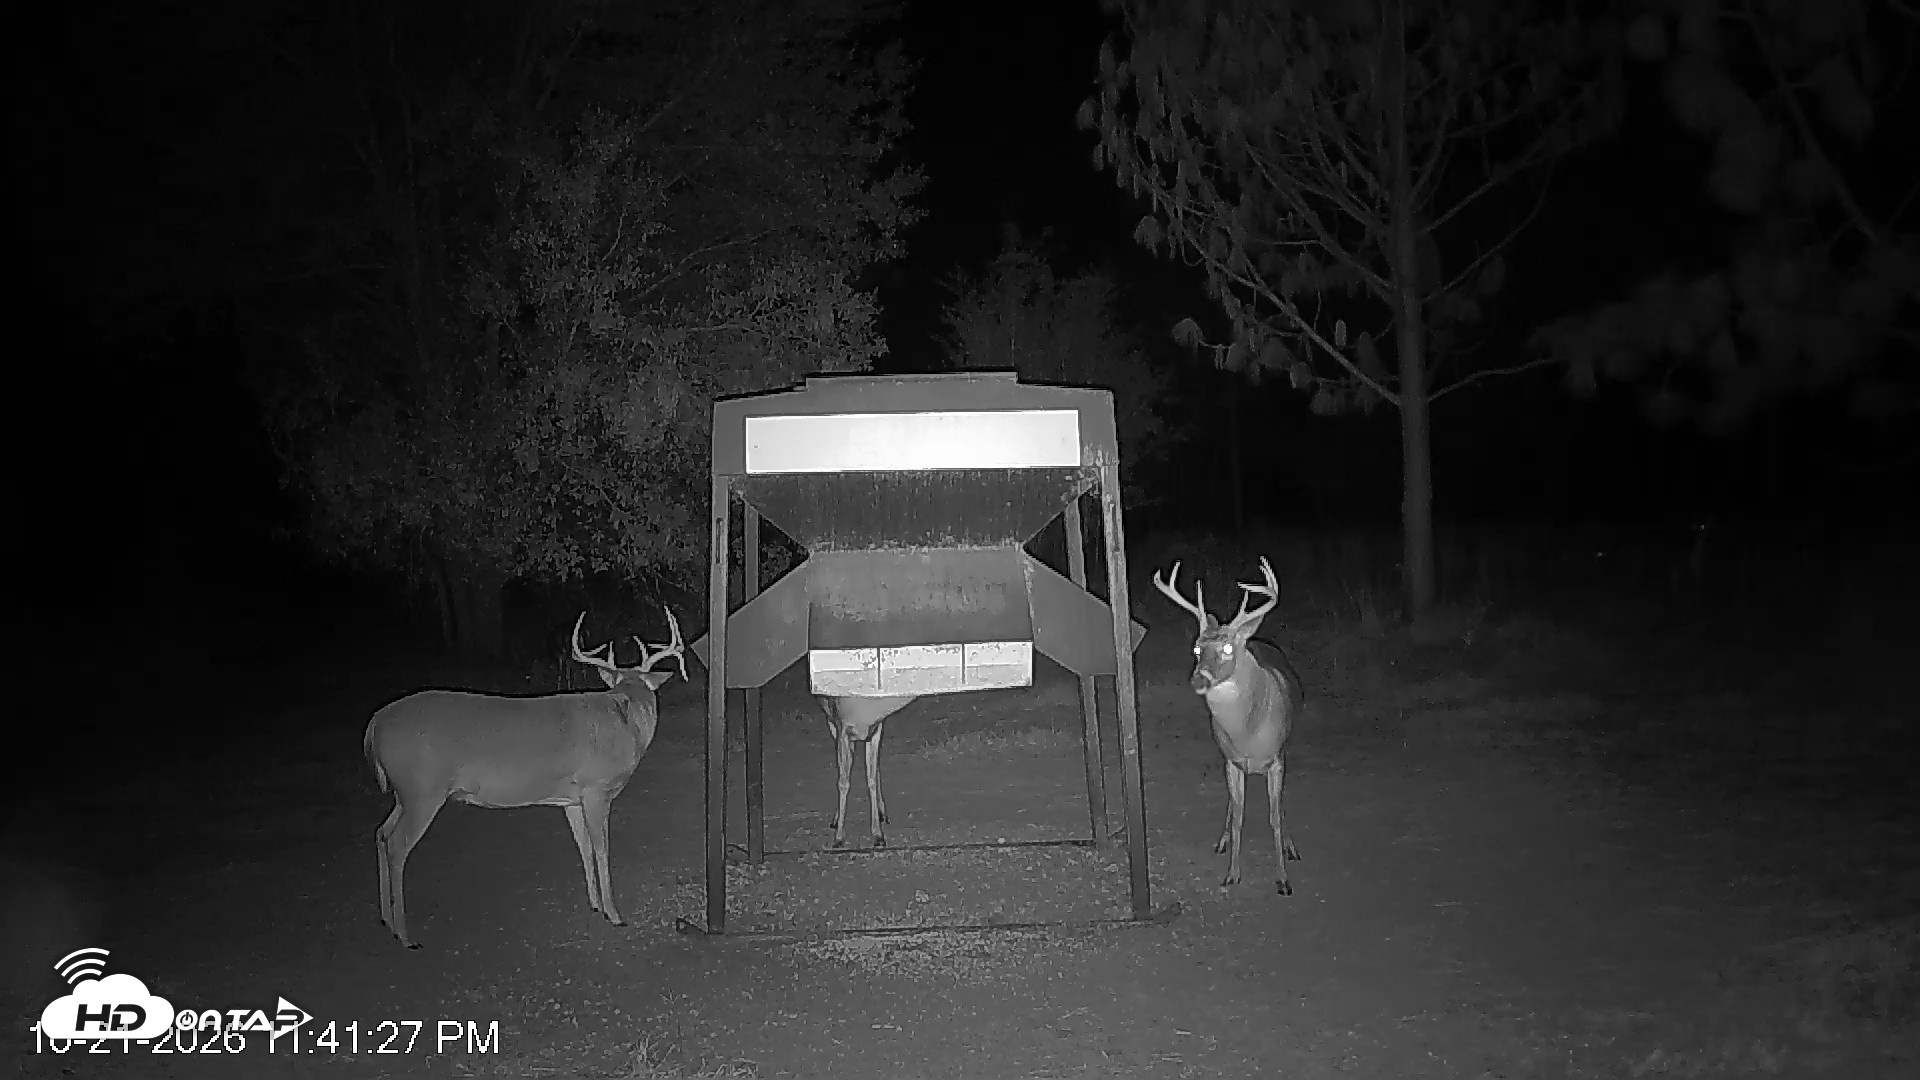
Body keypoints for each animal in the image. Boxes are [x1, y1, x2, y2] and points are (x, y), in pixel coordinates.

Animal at [363, 608, 687, 948]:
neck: (625, 724)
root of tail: (374, 724)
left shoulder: (571, 798)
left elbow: (583, 846)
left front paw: (595, 904)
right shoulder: (596, 788)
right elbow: (601, 848)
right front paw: (614, 914)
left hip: (404, 793)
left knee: (381, 833)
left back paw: (386, 919)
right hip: (423, 790)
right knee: (397, 845)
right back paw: (405, 935)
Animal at [816, 695, 918, 848]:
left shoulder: (875, 730)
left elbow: (871, 778)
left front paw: (878, 836)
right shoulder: (841, 728)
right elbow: (843, 782)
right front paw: (839, 838)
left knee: (874, 767)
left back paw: (882, 813)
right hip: (831, 721)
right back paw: (836, 820)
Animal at [1153, 556, 1305, 895]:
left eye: (1226, 649)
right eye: (1197, 648)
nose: (1198, 679)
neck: (1248, 731)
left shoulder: (1276, 758)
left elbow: (1274, 816)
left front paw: (1283, 879)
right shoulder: (1232, 761)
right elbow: (1238, 816)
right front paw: (1232, 874)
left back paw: (1291, 845)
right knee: (1232, 805)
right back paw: (1222, 841)